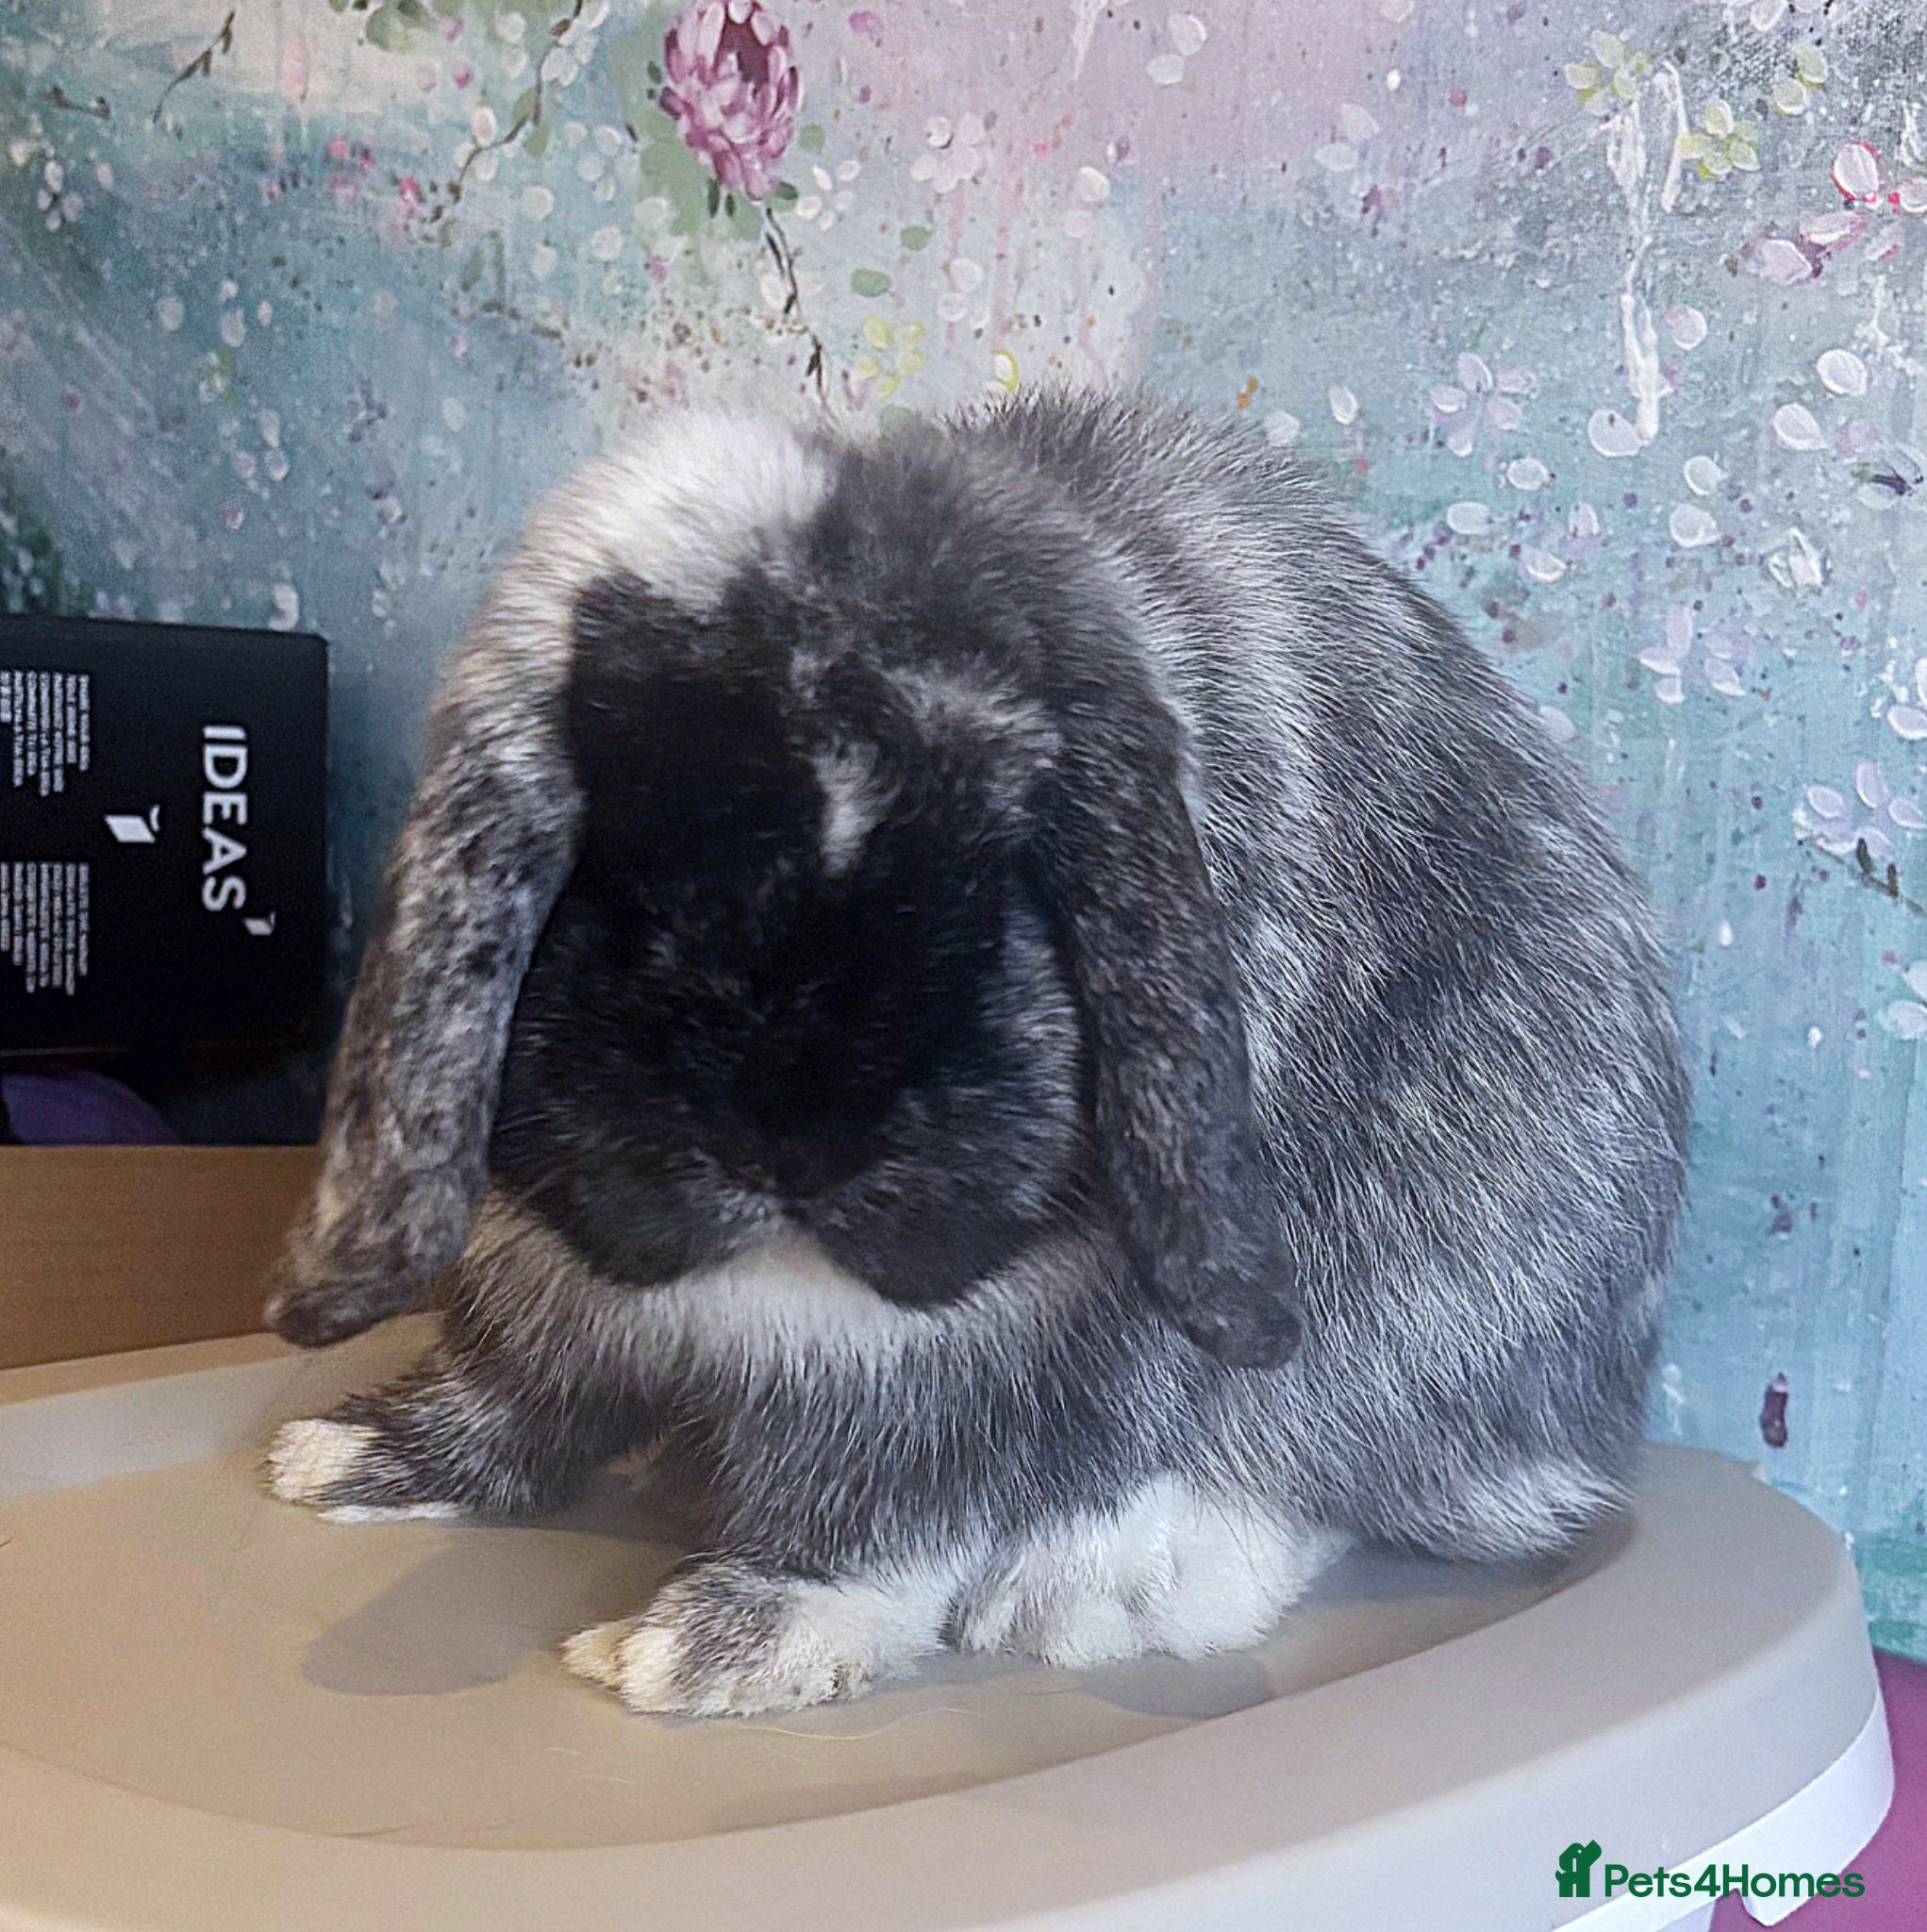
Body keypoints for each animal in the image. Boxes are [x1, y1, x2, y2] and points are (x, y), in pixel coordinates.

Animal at [261, 391, 1688, 1717]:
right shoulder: (544, 1265)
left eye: (1012, 854)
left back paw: (1096, 1590)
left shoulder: (977, 1347)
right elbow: (511, 1381)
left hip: (1421, 1297)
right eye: (615, 829)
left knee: (1344, 1476)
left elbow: (887, 1504)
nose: (791, 1135)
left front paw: (725, 1644)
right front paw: (352, 1458)